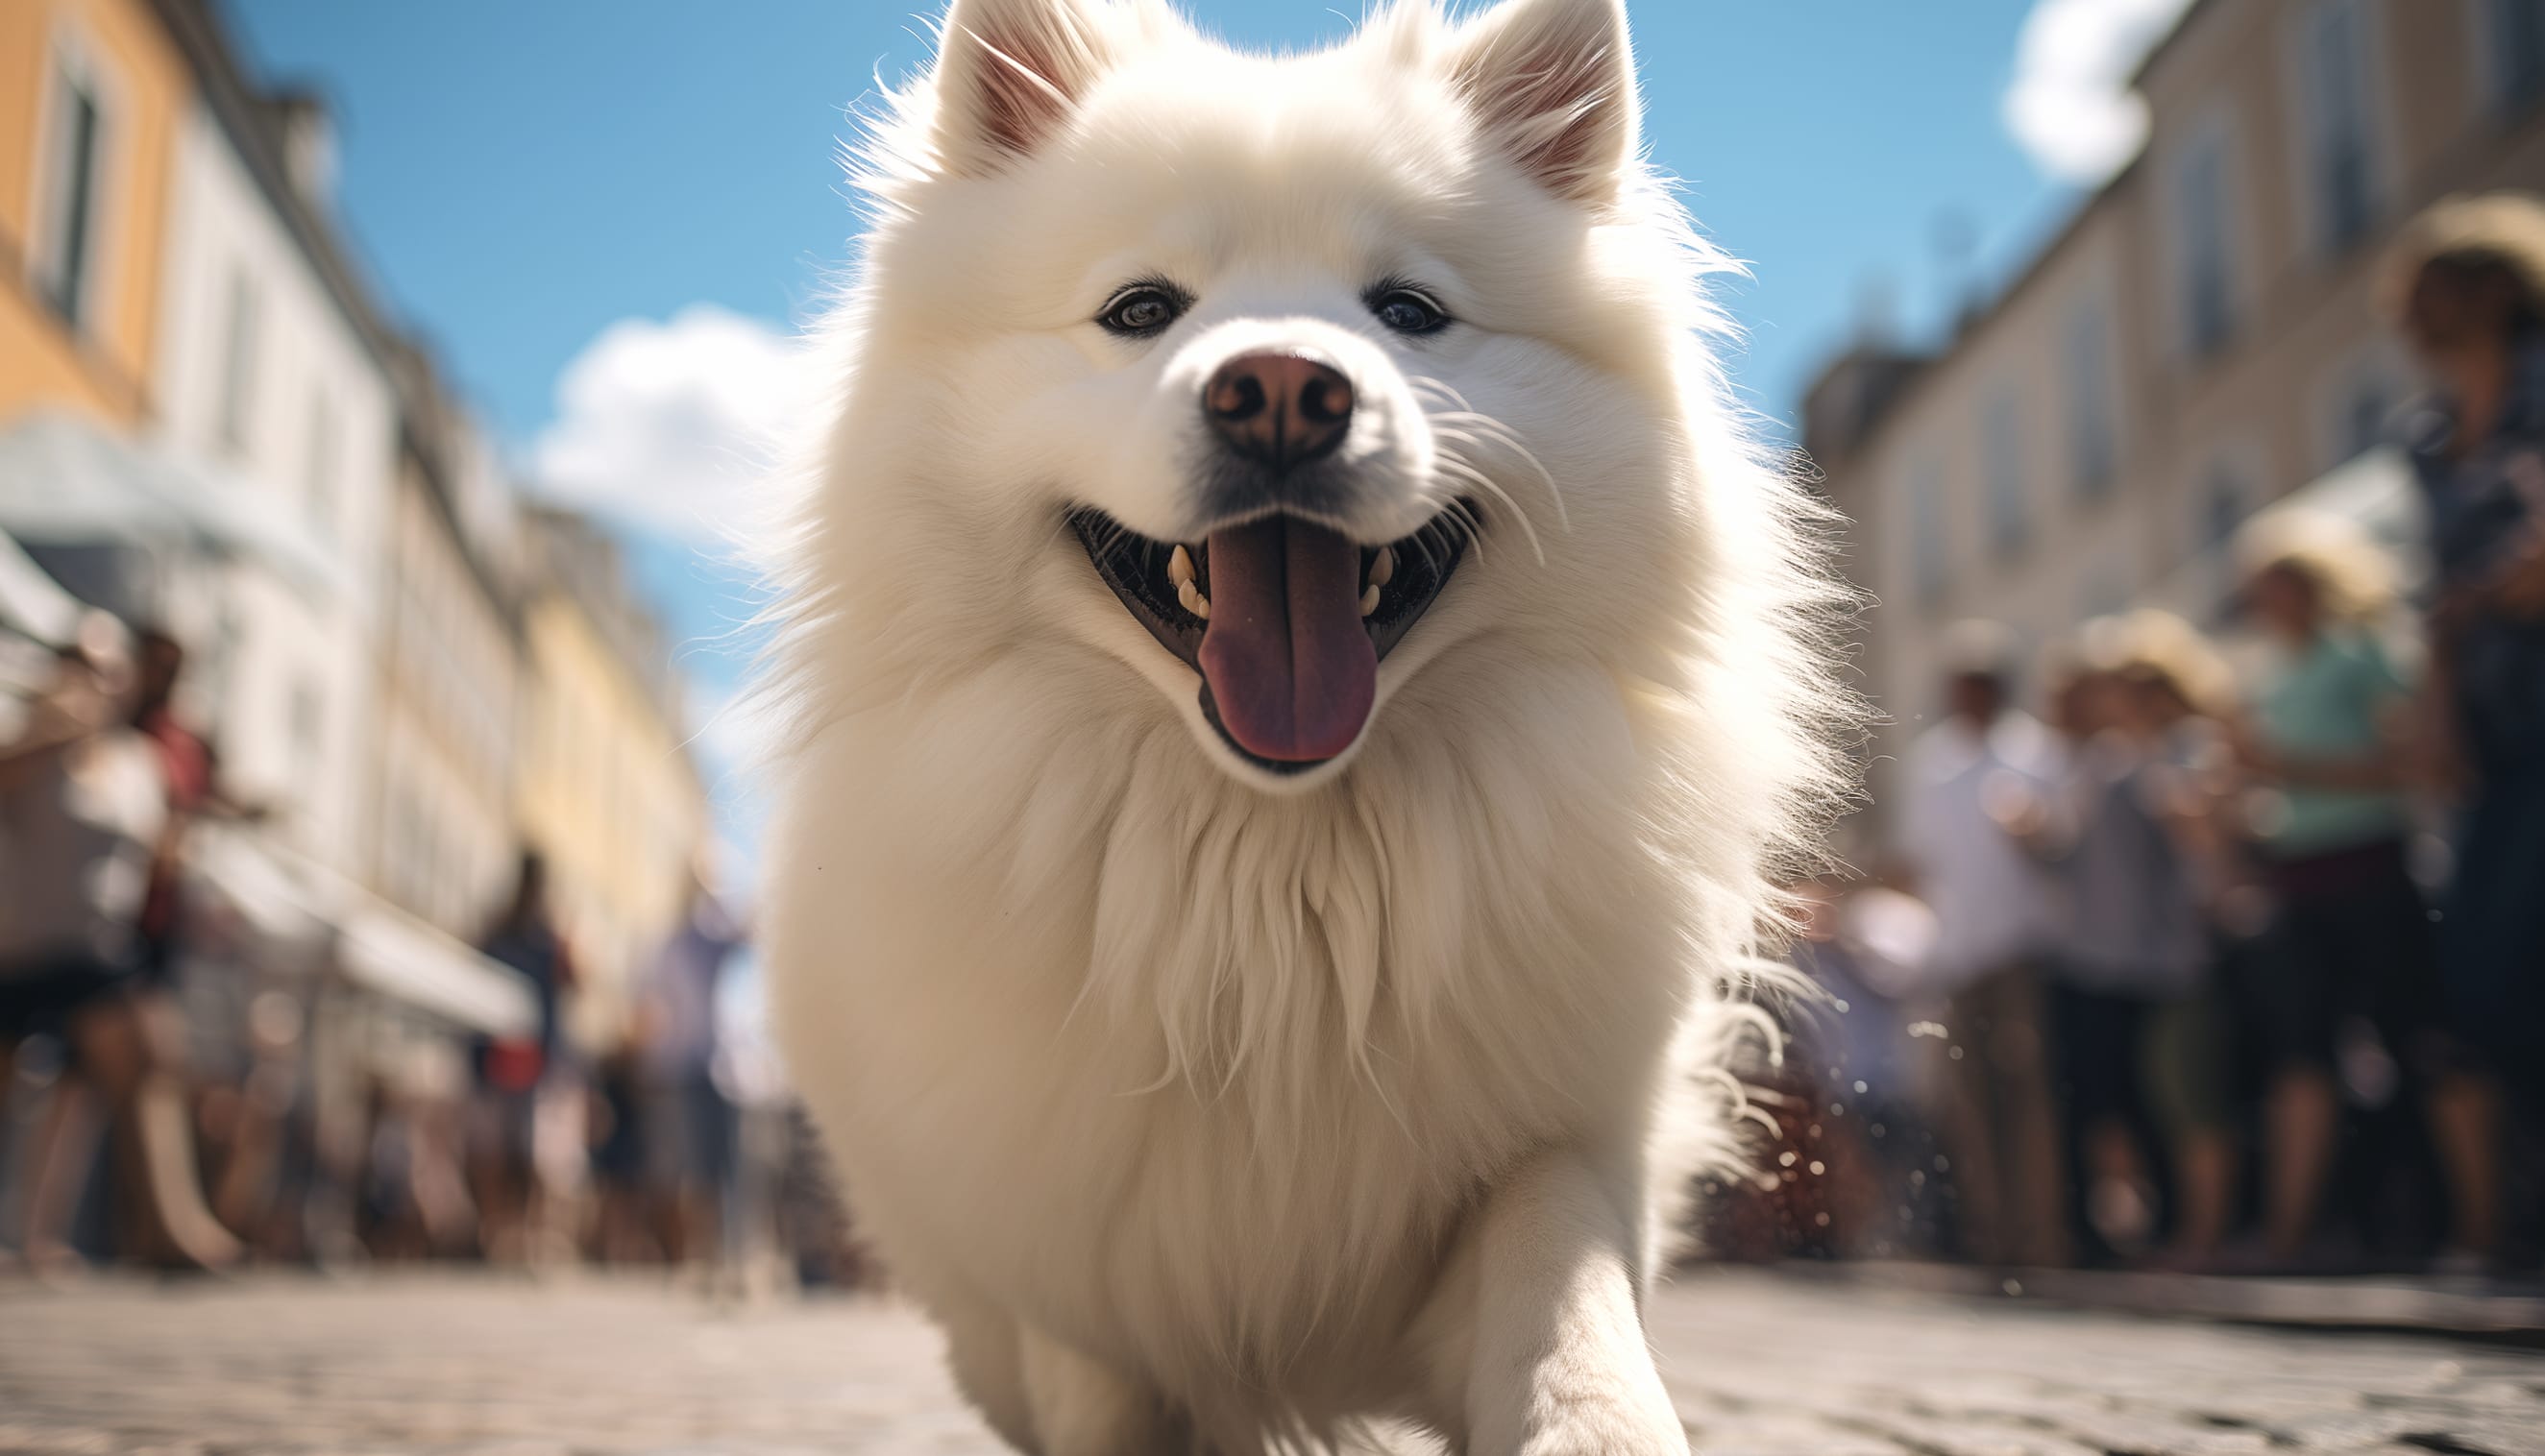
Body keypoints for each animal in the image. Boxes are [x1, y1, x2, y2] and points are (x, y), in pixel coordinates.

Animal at [753, 0, 1852, 1445]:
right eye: (1141, 311)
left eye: (1409, 313)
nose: (1281, 387)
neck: (1275, 914)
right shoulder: (1071, 1286)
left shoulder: (1550, 1141)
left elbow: (1568, 1308)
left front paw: (1593, 1415)